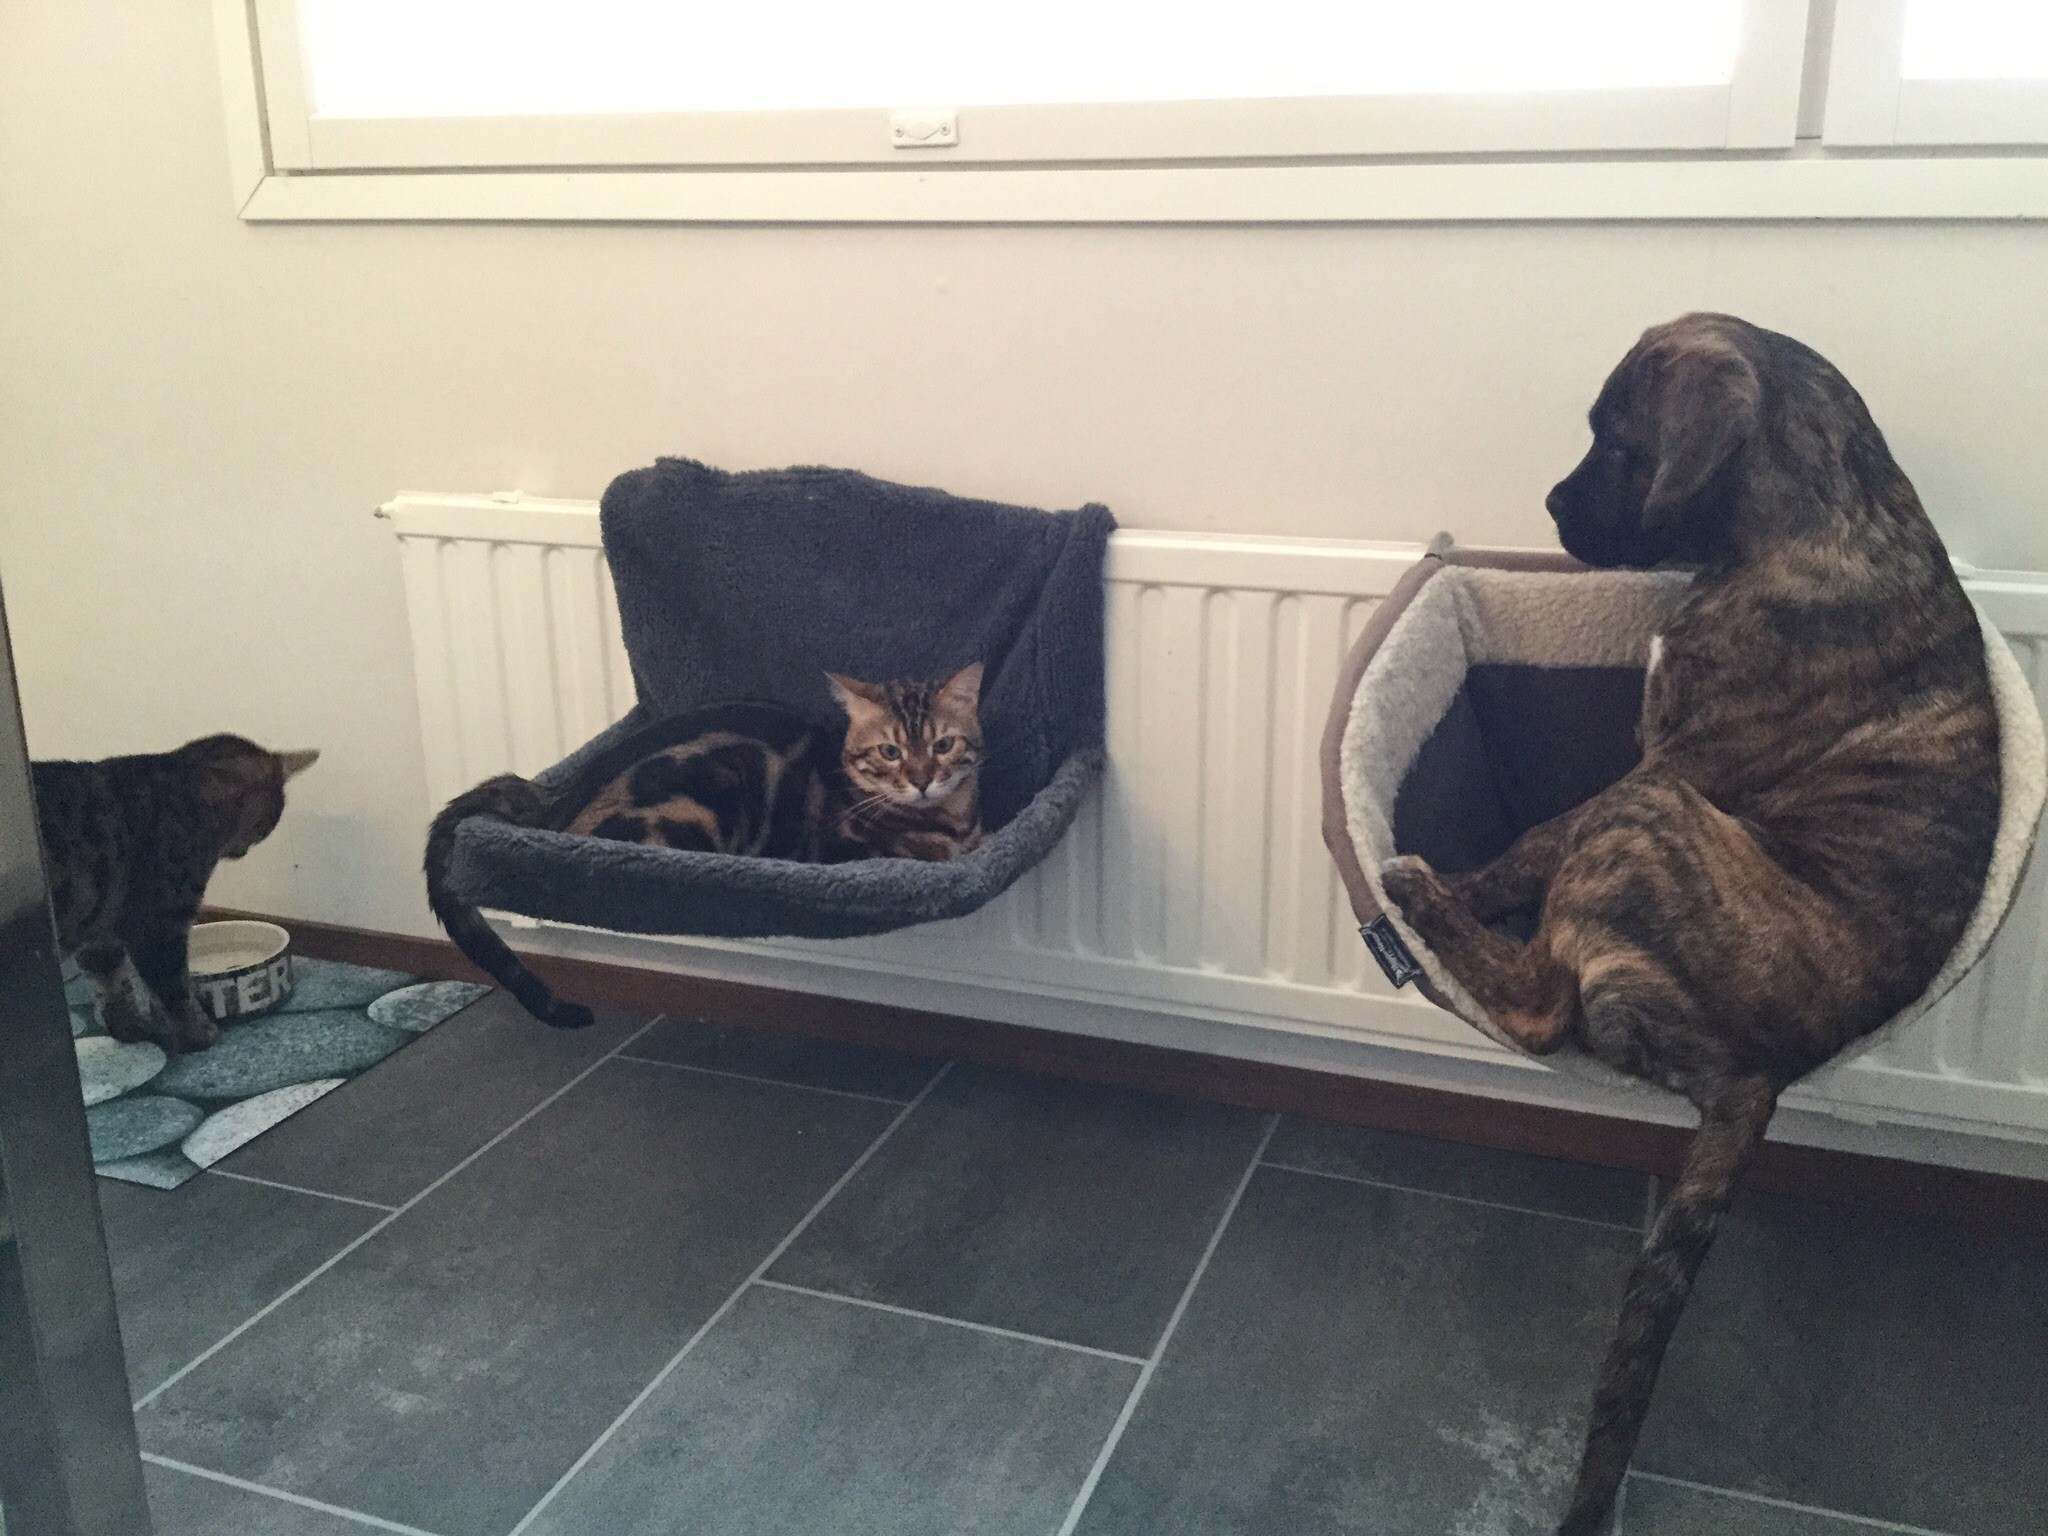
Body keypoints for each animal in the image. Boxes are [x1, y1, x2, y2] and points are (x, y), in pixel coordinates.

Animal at [35, 735, 319, 1052]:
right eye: (268, 824)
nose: (245, 851)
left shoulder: (103, 931)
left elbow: (113, 985)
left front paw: (129, 1027)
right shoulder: (159, 927)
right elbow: (176, 992)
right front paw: (199, 1033)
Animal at [425, 665, 985, 1029]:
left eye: (943, 745)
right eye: (890, 751)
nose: (922, 781)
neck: (949, 819)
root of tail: (556, 794)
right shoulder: (838, 852)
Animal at [1379, 313, 2000, 1535]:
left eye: (1618, 441)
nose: (1549, 506)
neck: (1824, 509)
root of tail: (1766, 1071)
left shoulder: (1665, 766)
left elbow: (1536, 844)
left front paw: (1470, 880)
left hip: (1649, 817)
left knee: (1542, 1004)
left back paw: (1425, 897)